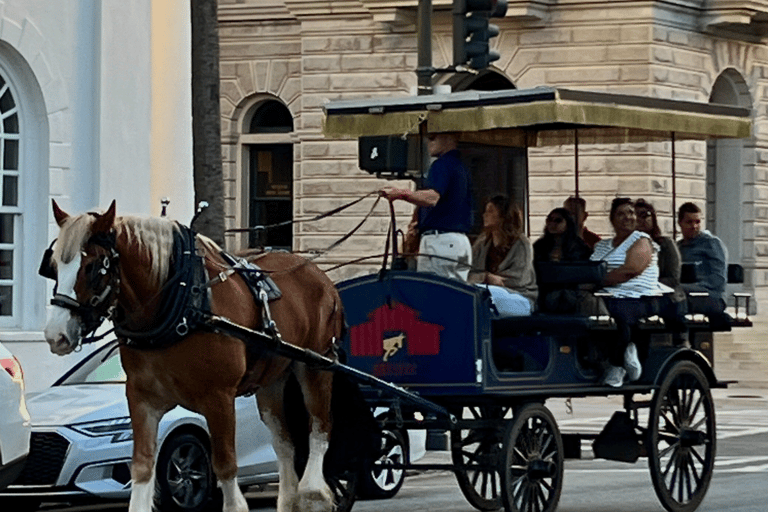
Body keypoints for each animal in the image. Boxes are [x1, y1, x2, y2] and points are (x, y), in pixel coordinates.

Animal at [39, 201, 344, 512]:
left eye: (92, 267)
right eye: (53, 267)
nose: (56, 334)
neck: (183, 302)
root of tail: (317, 273)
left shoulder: (219, 398)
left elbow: (225, 466)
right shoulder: (142, 399)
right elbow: (142, 467)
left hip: (316, 365)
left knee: (320, 427)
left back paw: (313, 492)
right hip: (271, 380)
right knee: (284, 443)